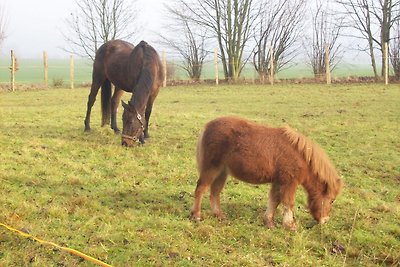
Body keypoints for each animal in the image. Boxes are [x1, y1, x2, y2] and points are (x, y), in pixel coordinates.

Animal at [192, 116, 342, 230]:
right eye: (332, 200)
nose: (325, 220)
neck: (300, 156)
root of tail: (207, 126)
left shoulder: (278, 182)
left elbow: (274, 201)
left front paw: (269, 222)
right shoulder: (289, 183)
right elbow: (288, 203)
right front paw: (290, 226)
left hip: (222, 172)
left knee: (214, 192)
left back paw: (219, 215)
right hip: (211, 169)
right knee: (201, 189)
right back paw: (197, 216)